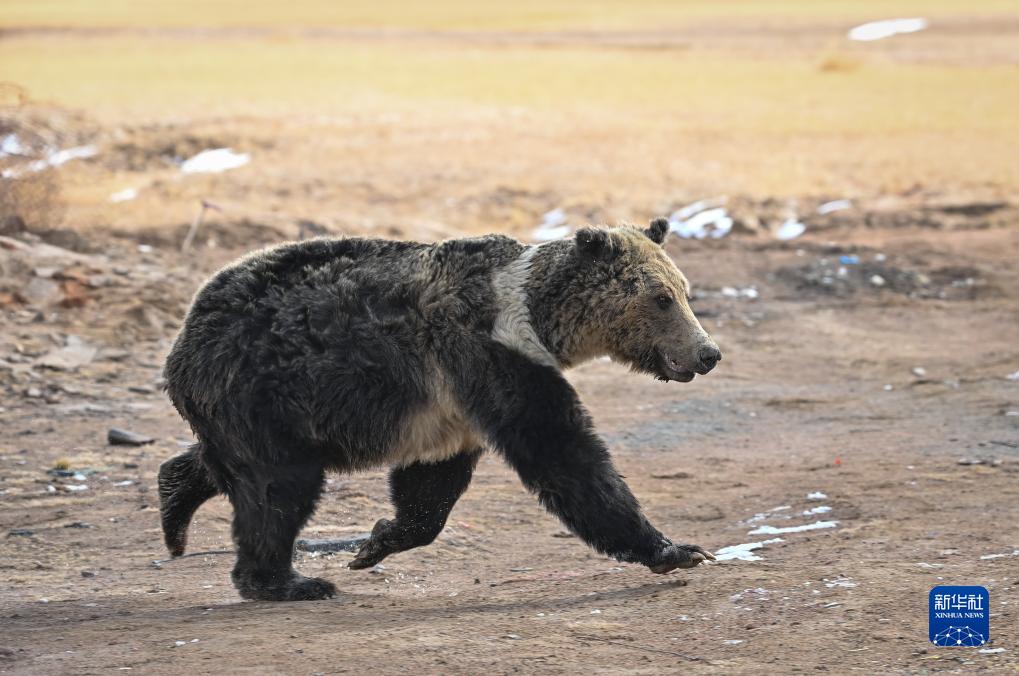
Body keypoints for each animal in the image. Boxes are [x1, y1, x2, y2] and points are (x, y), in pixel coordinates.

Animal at [158, 218, 721, 603]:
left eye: (685, 292)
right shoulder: (484, 354)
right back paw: (287, 581)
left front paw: (376, 542)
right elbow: (564, 455)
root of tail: (185, 333)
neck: (538, 320)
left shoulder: (453, 408)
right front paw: (676, 550)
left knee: (233, 469)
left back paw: (175, 506)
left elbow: (430, 487)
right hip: (262, 389)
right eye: (662, 297)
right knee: (278, 490)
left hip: (255, 411)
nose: (708, 353)